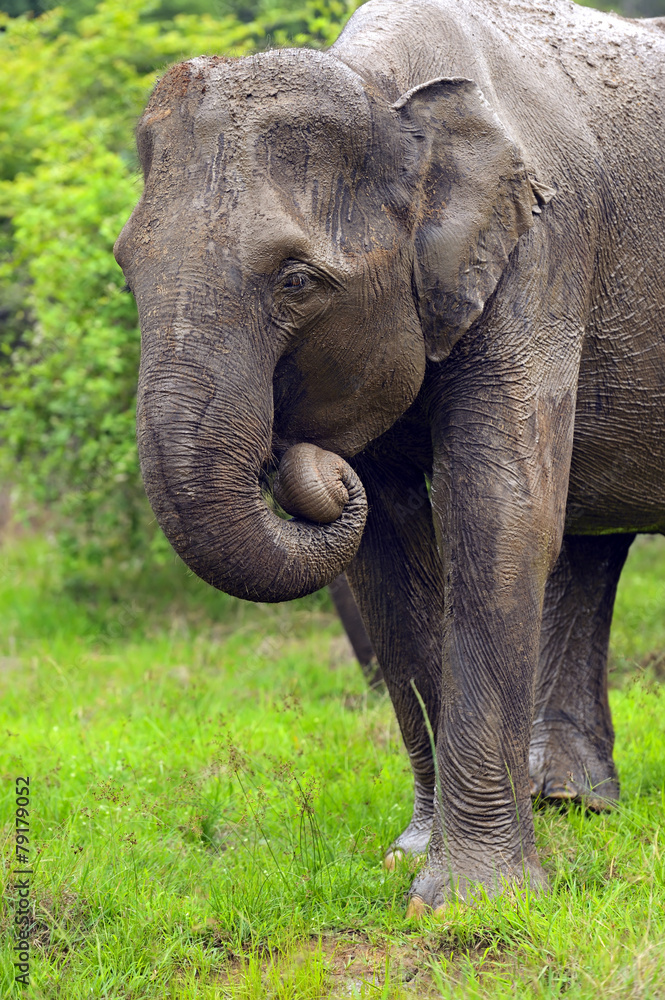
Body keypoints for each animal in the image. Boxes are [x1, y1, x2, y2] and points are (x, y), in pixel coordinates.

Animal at [114, 0, 665, 911]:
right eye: (126, 269)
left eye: (297, 281)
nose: (306, 462)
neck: (385, 90)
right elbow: (384, 550)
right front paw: (407, 859)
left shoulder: (544, 249)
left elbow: (499, 511)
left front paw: (474, 899)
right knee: (594, 546)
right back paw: (570, 803)